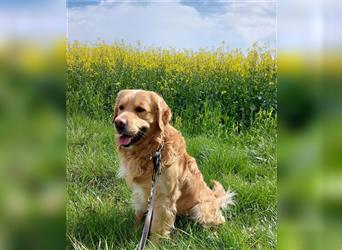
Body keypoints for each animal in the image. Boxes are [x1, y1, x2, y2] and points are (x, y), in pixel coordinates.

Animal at [113, 89, 234, 241]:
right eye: (121, 107)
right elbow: (138, 214)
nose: (118, 123)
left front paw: (152, 244)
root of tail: (216, 200)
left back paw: (210, 235)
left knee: (217, 223)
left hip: (199, 209)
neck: (153, 150)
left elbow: (157, 229)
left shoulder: (164, 198)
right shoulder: (140, 192)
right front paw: (133, 232)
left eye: (140, 109)